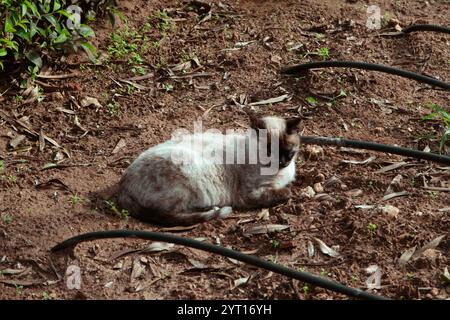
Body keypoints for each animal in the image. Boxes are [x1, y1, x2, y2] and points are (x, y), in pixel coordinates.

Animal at [116, 114, 300, 226]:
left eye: (288, 152)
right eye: (269, 153)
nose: (282, 162)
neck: (279, 173)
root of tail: (122, 186)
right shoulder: (250, 194)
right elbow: (286, 192)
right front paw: (287, 191)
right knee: (171, 214)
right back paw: (214, 209)